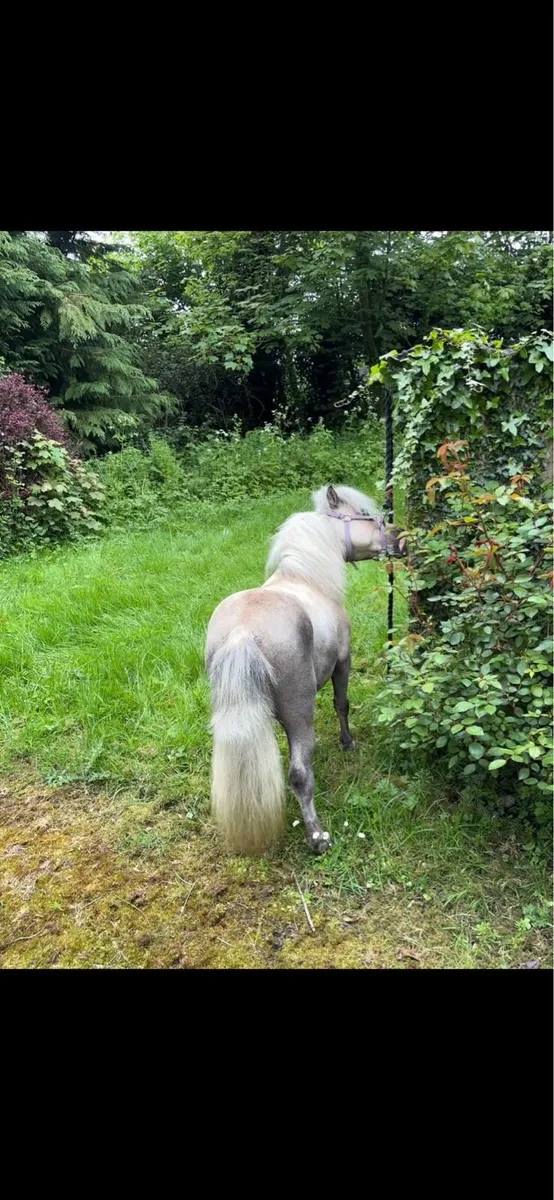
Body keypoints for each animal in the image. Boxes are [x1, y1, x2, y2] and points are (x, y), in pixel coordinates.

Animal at [205, 484, 406, 856]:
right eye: (367, 516)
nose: (401, 540)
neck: (307, 579)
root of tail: (242, 632)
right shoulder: (344, 662)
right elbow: (342, 705)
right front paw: (347, 743)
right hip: (301, 713)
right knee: (300, 773)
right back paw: (317, 837)